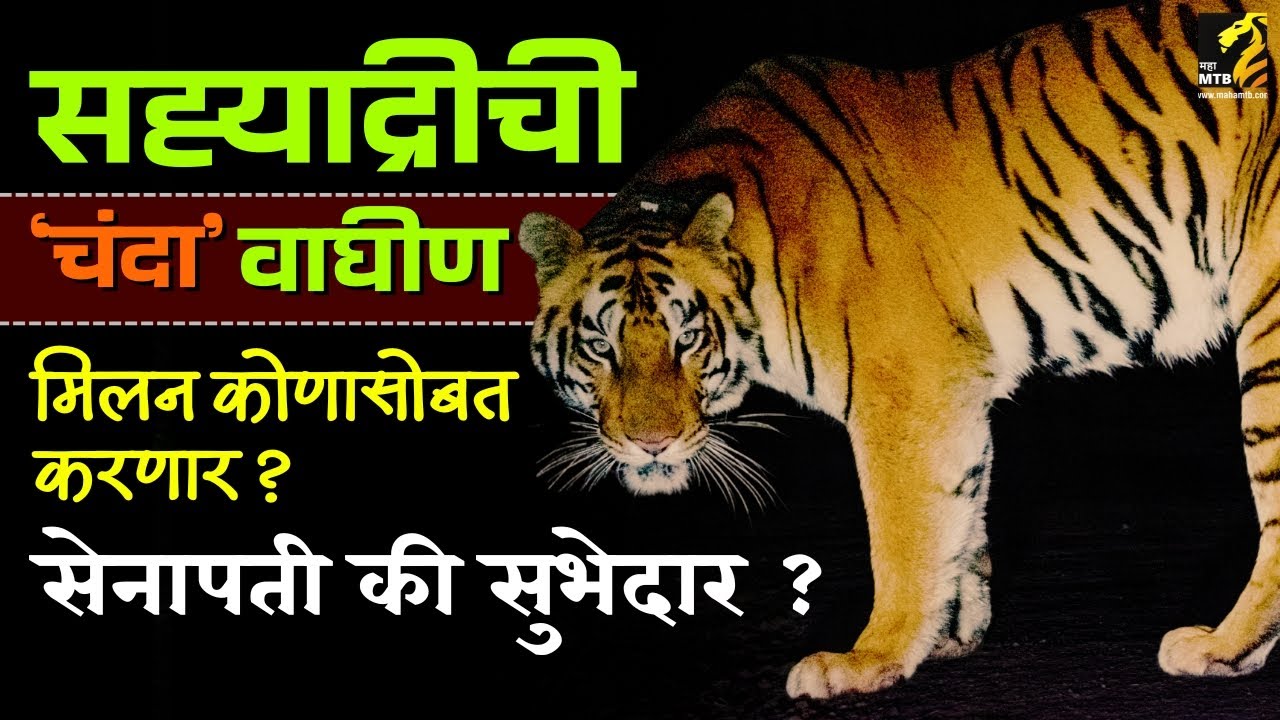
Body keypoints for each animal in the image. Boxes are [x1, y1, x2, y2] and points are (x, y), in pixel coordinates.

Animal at [517, 0, 1280, 698]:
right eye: (600, 345)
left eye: (688, 338)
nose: (652, 444)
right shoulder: (957, 393)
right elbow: (961, 521)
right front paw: (946, 637)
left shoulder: (904, 390)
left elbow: (904, 536)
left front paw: (871, 657)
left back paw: (1222, 647)